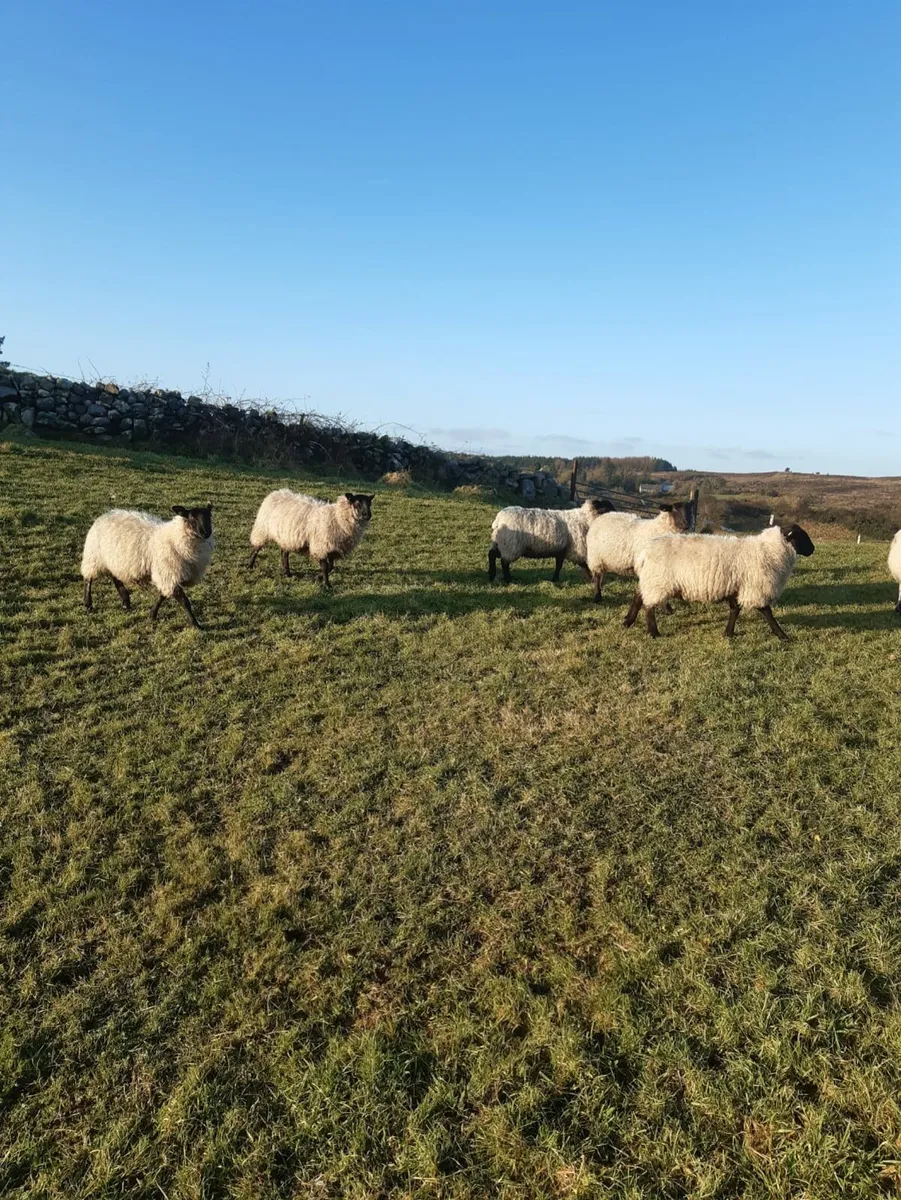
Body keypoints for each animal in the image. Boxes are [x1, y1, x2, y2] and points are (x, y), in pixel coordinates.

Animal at [81, 504, 214, 629]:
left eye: (209, 516)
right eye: (192, 518)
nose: (206, 533)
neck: (176, 538)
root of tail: (105, 514)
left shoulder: (167, 574)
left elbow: (162, 595)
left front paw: (152, 614)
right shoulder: (168, 572)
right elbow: (185, 602)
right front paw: (196, 624)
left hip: (115, 560)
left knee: (116, 578)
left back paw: (125, 602)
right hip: (93, 556)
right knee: (88, 578)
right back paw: (88, 604)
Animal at [625, 523, 815, 640]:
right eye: (802, 536)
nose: (813, 549)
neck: (770, 551)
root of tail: (644, 553)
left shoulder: (737, 586)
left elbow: (735, 609)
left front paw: (728, 633)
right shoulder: (755, 587)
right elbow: (766, 611)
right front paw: (782, 635)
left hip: (652, 579)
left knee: (638, 595)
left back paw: (628, 621)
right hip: (658, 581)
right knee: (648, 606)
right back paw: (653, 632)